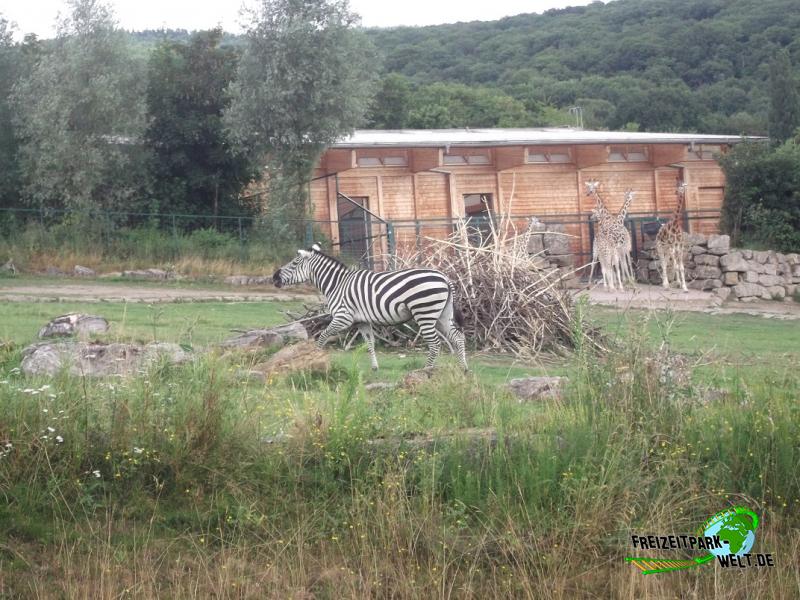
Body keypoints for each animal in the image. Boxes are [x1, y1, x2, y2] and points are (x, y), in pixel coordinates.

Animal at [272, 244, 466, 370]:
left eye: (294, 263)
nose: (274, 278)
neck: (337, 284)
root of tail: (444, 277)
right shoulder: (362, 321)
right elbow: (370, 343)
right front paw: (374, 368)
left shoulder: (343, 317)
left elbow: (323, 336)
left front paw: (311, 361)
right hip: (442, 314)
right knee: (458, 337)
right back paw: (463, 369)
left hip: (425, 312)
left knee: (435, 343)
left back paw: (427, 371)